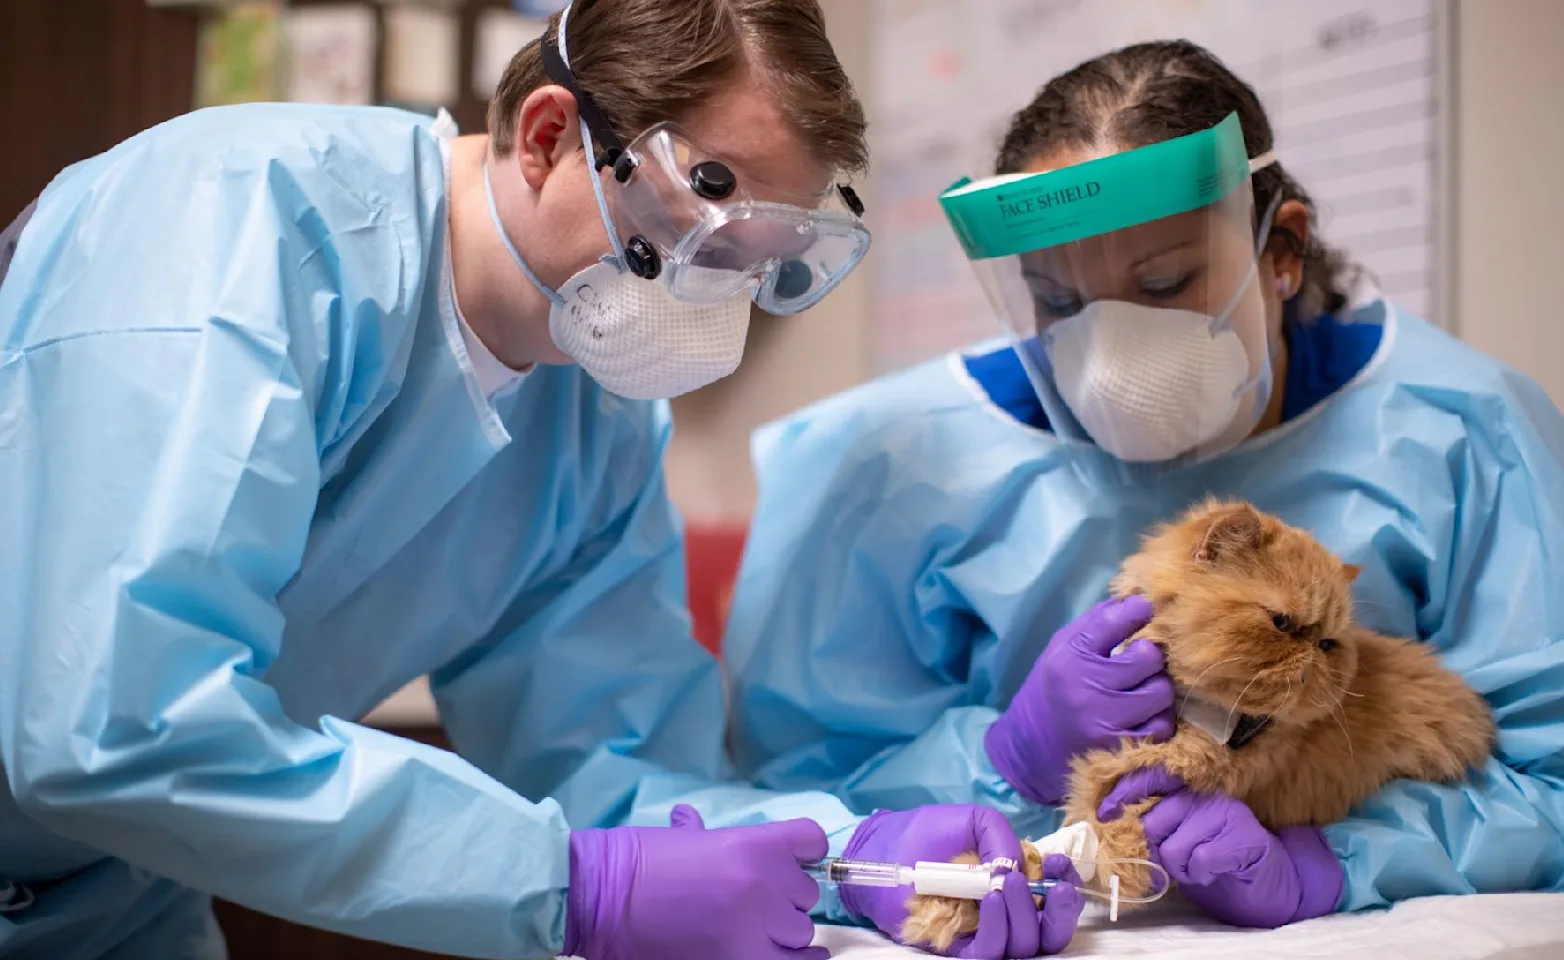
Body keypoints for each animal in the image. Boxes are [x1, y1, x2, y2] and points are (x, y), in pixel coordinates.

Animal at [900, 500, 1495, 950]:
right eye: (1282, 623)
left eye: (1329, 643)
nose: (1314, 653)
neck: (1200, 713)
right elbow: (1037, 850)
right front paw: (955, 899)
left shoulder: (1149, 790)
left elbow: (1094, 843)